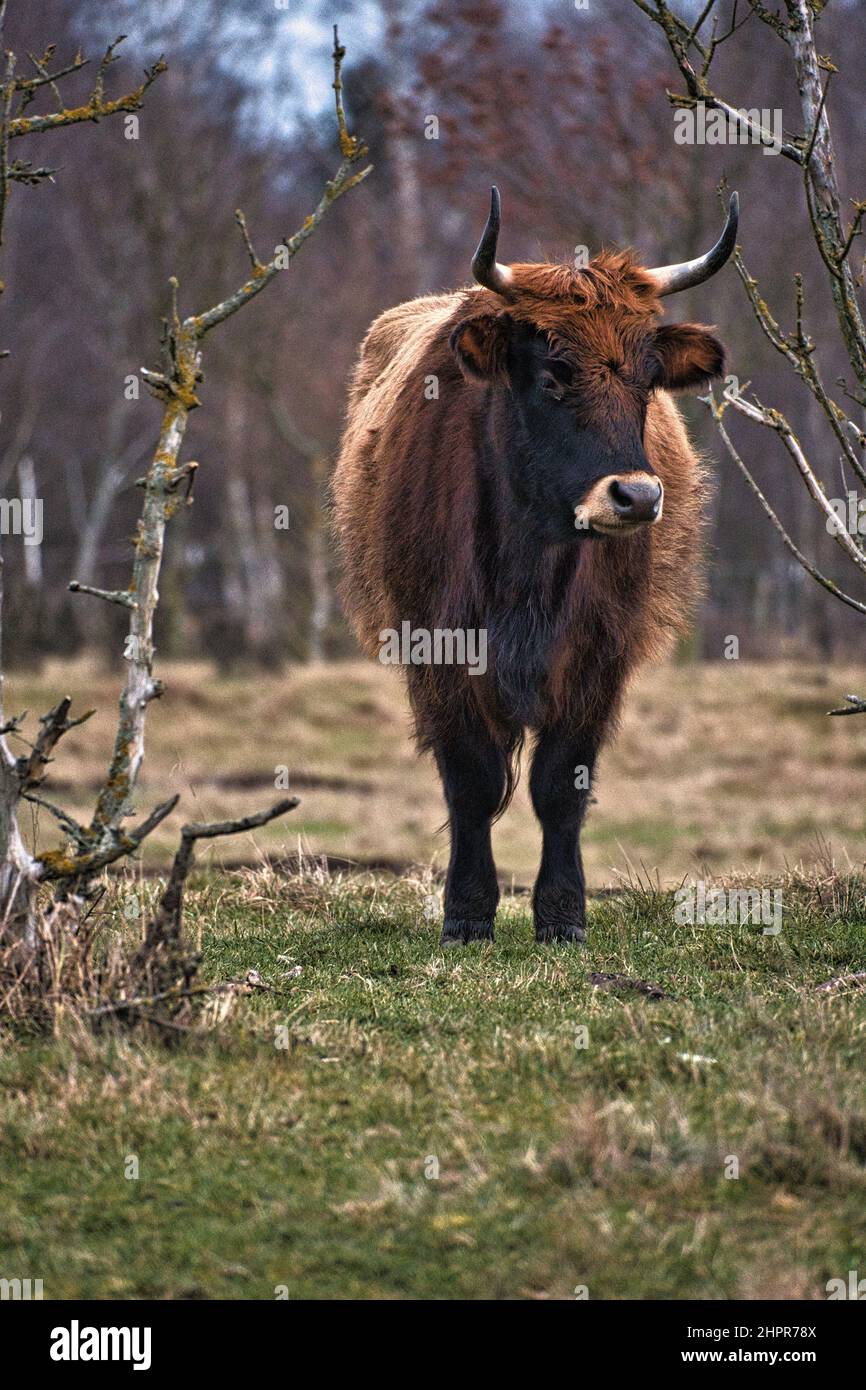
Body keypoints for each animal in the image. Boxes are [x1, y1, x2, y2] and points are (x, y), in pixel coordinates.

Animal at [332, 187, 738, 946]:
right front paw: (466, 914)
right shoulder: (438, 647)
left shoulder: (599, 656)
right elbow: (471, 781)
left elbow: (560, 784)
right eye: (553, 376)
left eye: (648, 382)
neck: (529, 559)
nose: (637, 496)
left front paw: (563, 915)